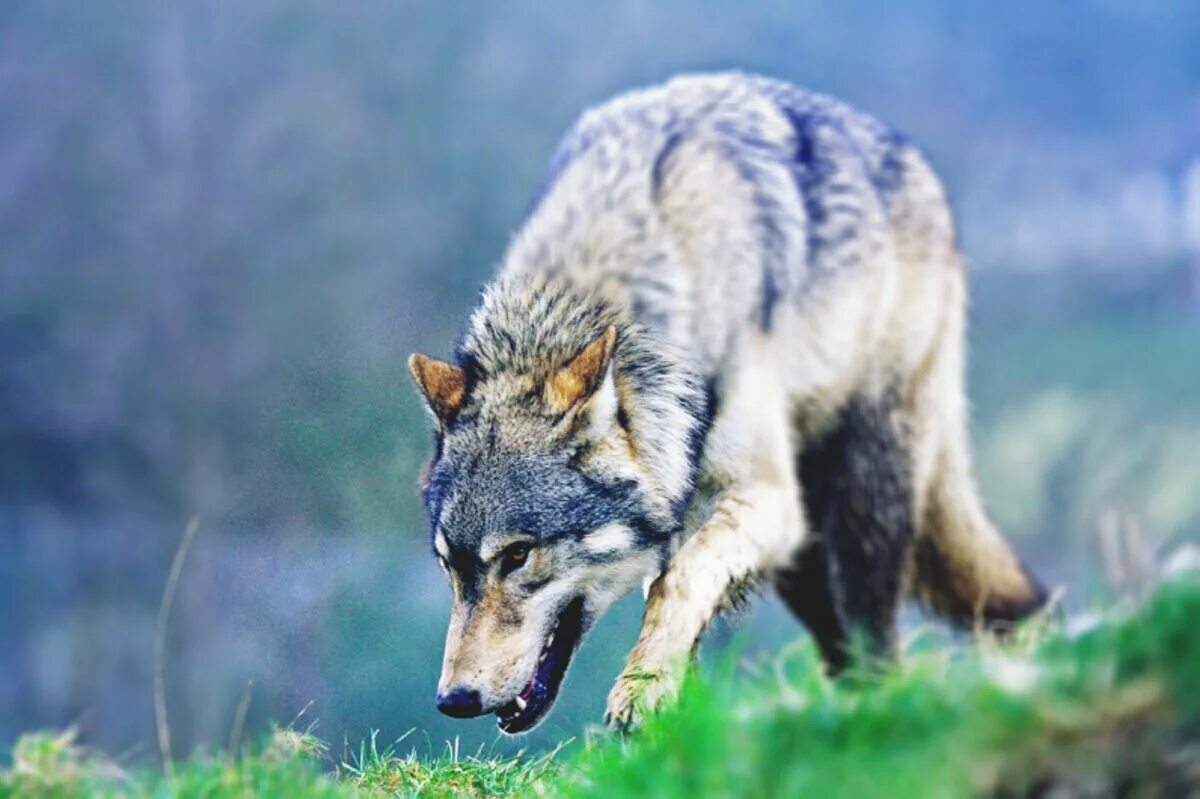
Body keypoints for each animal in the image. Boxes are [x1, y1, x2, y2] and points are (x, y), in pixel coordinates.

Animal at [408, 71, 1046, 729]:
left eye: (517, 555)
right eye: (448, 564)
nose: (455, 701)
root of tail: (913, 159)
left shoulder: (764, 499)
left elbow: (679, 581)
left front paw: (641, 691)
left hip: (865, 484)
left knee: (875, 626)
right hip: (805, 543)